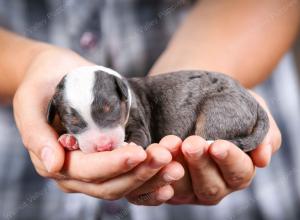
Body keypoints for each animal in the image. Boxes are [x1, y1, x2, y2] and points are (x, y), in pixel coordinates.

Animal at [47, 65, 270, 153]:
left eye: (111, 109)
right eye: (73, 121)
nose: (103, 147)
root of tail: (255, 103)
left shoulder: (139, 122)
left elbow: (140, 136)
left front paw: (128, 145)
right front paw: (69, 140)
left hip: (219, 109)